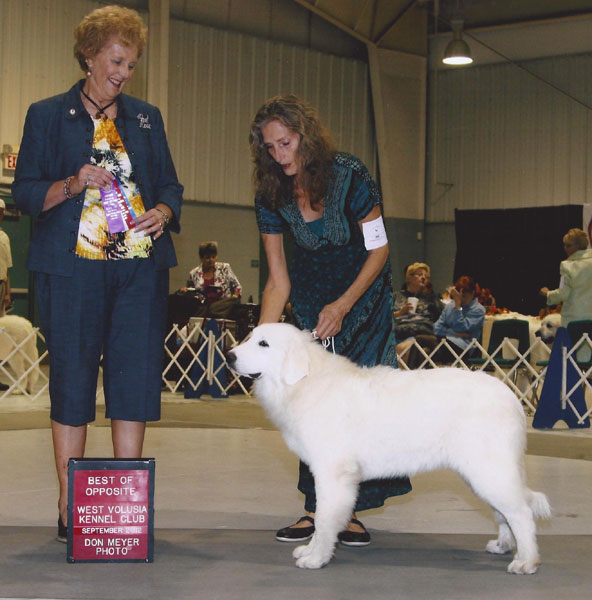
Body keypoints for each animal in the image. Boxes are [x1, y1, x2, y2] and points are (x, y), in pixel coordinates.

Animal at [229, 322, 552, 576]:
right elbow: (321, 520)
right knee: (504, 513)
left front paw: (316, 558)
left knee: (521, 513)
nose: (230, 356)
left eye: (263, 344)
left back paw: (526, 562)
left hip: (489, 470)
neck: (304, 384)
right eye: (249, 337)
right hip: (482, 474)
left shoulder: (332, 474)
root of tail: (511, 397)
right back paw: (503, 545)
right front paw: (310, 551)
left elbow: (324, 519)